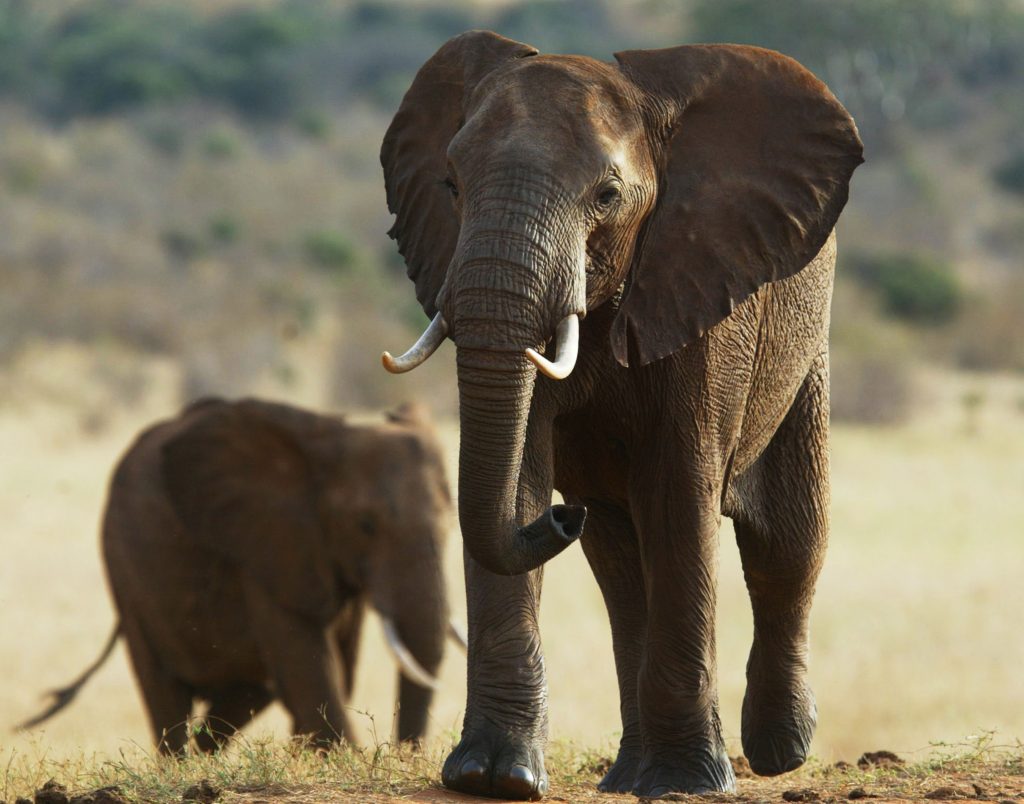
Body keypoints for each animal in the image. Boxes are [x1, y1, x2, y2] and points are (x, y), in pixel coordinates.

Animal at [20, 401, 460, 753]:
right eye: (365, 525)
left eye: (450, 519)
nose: (405, 756)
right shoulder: (267, 547)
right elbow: (310, 666)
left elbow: (327, 671)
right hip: (124, 570)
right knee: (164, 692)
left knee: (246, 692)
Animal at [385, 33, 864, 802]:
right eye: (451, 187)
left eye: (606, 197)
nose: (561, 518)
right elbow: (517, 475)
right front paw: (491, 777)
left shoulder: (703, 289)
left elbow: (679, 495)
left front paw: (689, 783)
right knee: (619, 566)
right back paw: (626, 775)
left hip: (805, 348)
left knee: (787, 543)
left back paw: (777, 752)